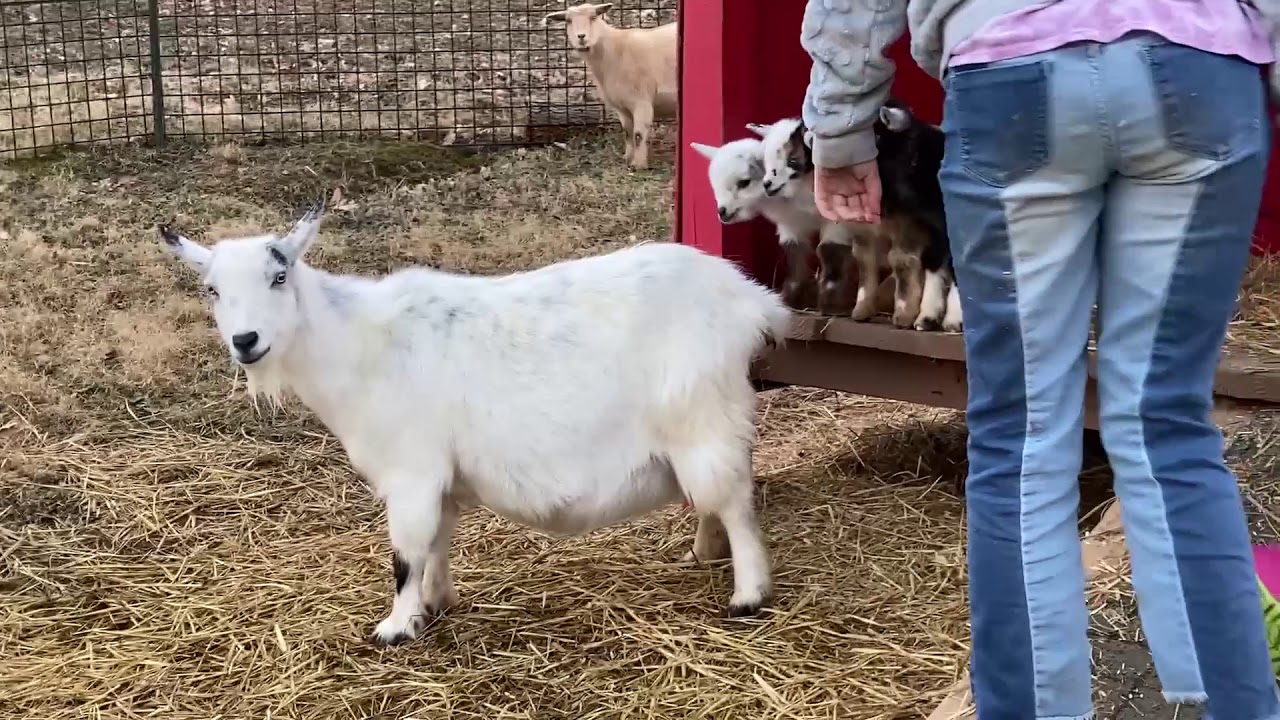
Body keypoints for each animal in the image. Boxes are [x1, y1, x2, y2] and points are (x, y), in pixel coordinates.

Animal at [157, 198, 787, 645]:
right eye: (211, 290)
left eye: (280, 277)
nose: (246, 341)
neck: (357, 342)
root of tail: (747, 299)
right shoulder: (442, 478)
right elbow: (438, 539)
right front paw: (436, 604)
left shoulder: (411, 471)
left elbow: (407, 550)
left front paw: (396, 626)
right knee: (714, 498)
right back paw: (703, 554)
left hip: (701, 416)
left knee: (735, 501)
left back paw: (748, 595)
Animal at [543, 3, 677, 170]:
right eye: (568, 21)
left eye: (593, 17)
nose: (581, 37)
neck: (615, 50)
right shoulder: (622, 106)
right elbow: (627, 133)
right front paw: (627, 158)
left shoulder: (641, 101)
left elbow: (638, 135)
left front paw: (638, 165)